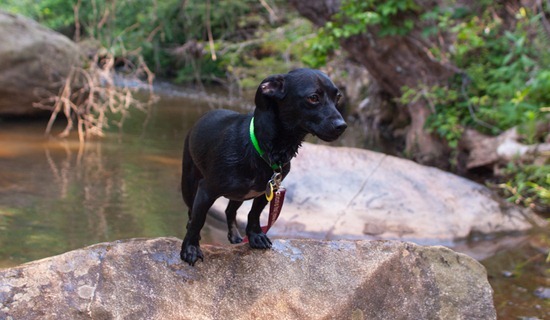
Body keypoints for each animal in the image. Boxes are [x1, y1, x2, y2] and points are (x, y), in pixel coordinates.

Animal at [181, 69, 348, 266]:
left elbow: (254, 214)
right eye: (313, 97)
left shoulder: (267, 191)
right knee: (191, 212)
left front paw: (255, 236)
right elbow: (198, 220)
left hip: (239, 195)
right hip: (189, 185)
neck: (261, 148)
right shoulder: (206, 191)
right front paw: (190, 248)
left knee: (230, 211)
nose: (342, 126)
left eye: (338, 97)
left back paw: (235, 235)